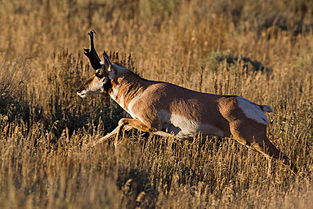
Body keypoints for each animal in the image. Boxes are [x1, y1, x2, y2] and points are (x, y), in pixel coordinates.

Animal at [77, 30, 296, 173]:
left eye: (98, 73)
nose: (80, 90)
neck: (142, 89)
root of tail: (259, 108)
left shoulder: (148, 124)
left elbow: (121, 122)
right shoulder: (141, 124)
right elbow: (117, 127)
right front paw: (86, 148)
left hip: (252, 140)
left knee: (285, 159)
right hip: (254, 142)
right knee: (276, 159)